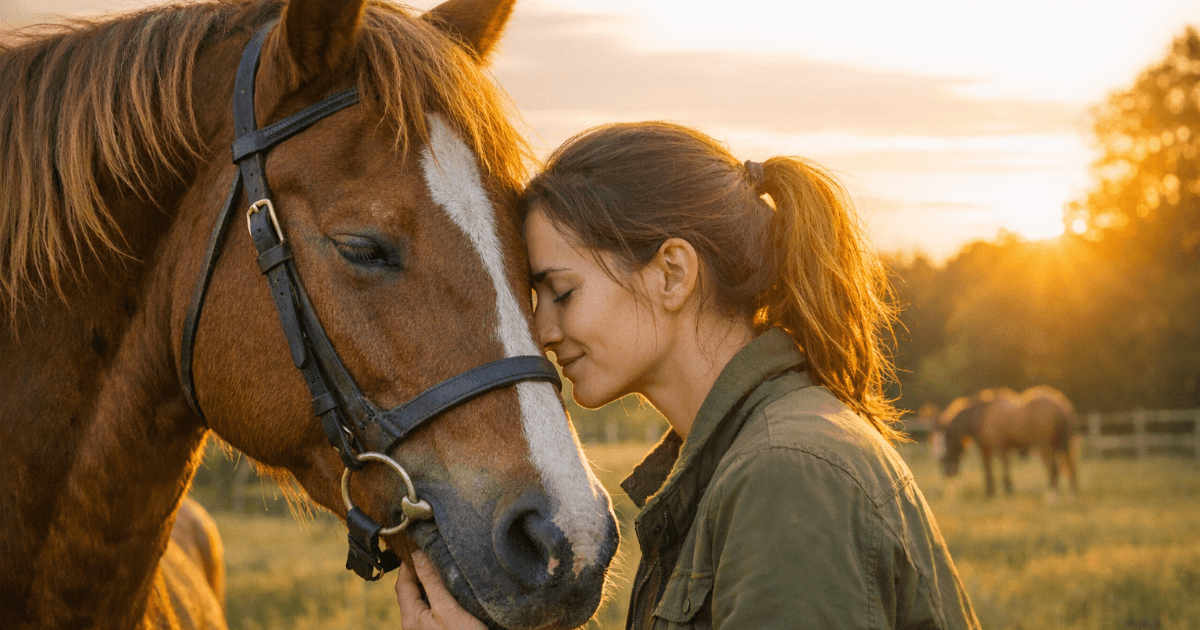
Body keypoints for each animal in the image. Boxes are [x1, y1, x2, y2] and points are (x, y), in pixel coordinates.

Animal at [938, 386, 1078, 498]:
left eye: (946, 443)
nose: (948, 472)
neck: (983, 416)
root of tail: (1059, 406)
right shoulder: (1001, 448)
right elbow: (1003, 466)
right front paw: (1002, 489)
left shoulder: (992, 448)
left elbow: (991, 467)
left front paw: (997, 491)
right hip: (1064, 445)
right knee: (1070, 466)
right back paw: (1071, 493)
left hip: (1046, 447)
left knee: (1053, 468)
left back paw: (1052, 496)